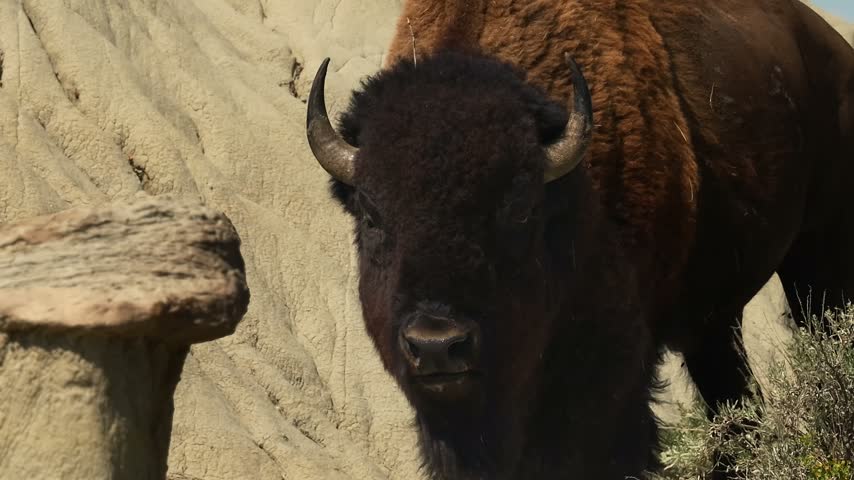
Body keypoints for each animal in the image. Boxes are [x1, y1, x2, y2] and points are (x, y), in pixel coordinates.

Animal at [305, 0, 854, 478]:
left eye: (519, 208)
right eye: (371, 214)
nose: (437, 344)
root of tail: (833, 48)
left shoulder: (610, 373)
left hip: (818, 260)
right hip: (715, 318)